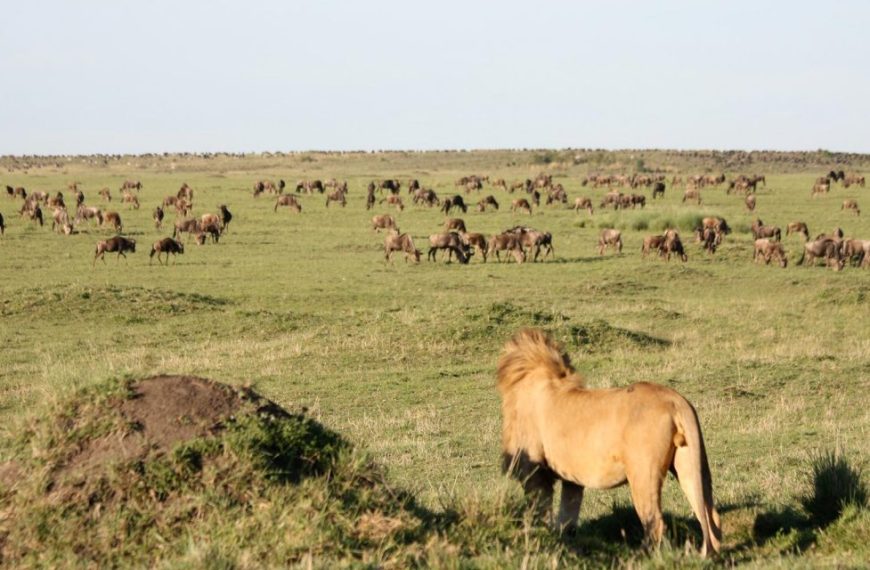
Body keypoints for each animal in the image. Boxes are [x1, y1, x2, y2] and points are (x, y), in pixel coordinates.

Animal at [497, 328, 721, 557]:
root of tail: (675, 400)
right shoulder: (572, 480)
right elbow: (567, 518)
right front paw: (565, 543)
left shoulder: (534, 472)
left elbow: (540, 513)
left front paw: (543, 539)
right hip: (690, 463)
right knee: (711, 515)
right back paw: (709, 554)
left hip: (642, 473)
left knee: (656, 523)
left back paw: (641, 556)